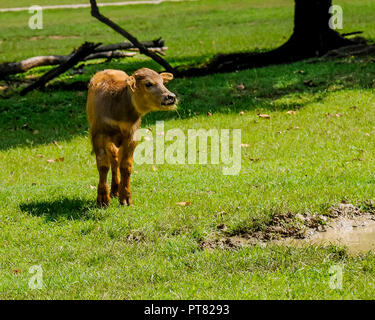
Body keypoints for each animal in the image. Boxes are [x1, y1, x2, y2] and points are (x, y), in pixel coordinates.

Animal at [86, 68, 178, 208]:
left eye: (163, 82)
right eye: (148, 84)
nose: (171, 97)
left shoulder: (132, 137)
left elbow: (126, 166)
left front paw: (125, 198)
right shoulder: (98, 135)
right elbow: (103, 166)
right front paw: (102, 199)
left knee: (115, 161)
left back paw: (115, 190)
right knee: (113, 159)